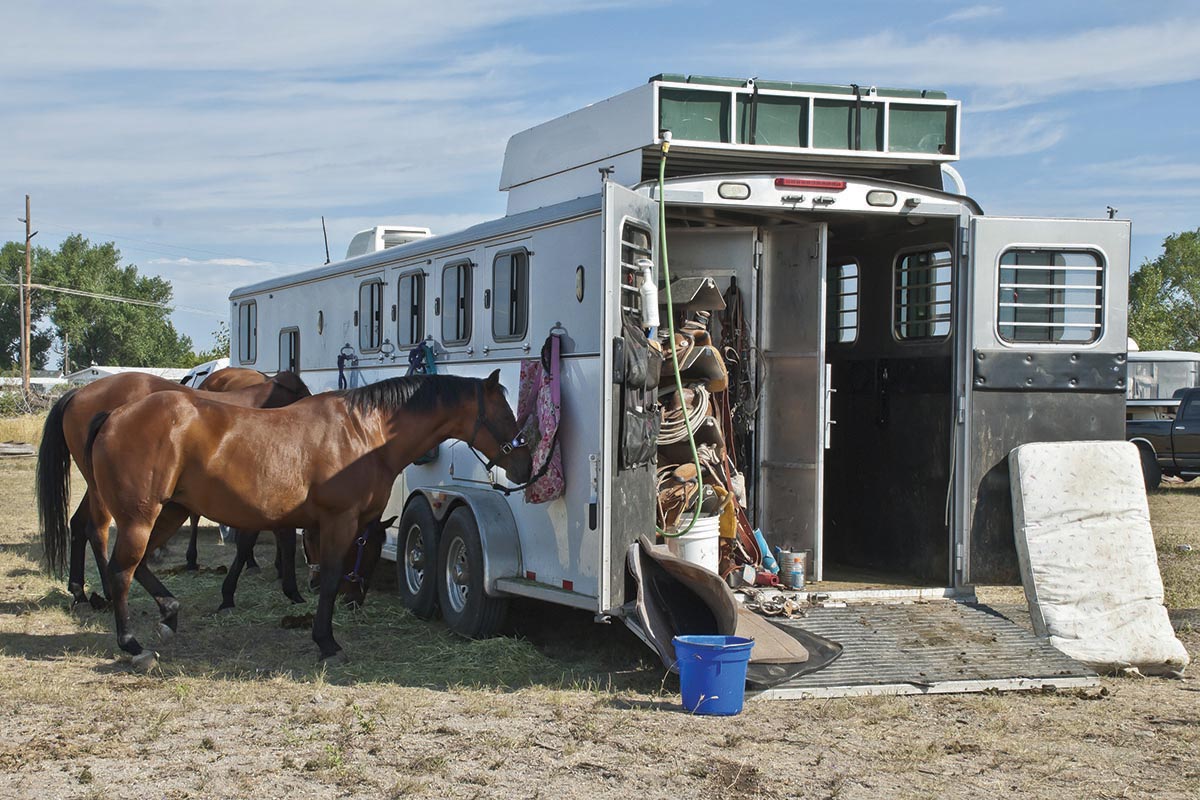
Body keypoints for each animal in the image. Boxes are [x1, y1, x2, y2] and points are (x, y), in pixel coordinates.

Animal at [87, 371, 530, 666]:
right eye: (504, 413)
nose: (524, 463)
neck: (364, 434)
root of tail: (114, 415)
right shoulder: (339, 521)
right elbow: (330, 579)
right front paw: (326, 641)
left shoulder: (317, 526)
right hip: (140, 517)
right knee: (121, 571)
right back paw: (132, 644)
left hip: (170, 511)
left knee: (139, 565)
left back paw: (170, 614)